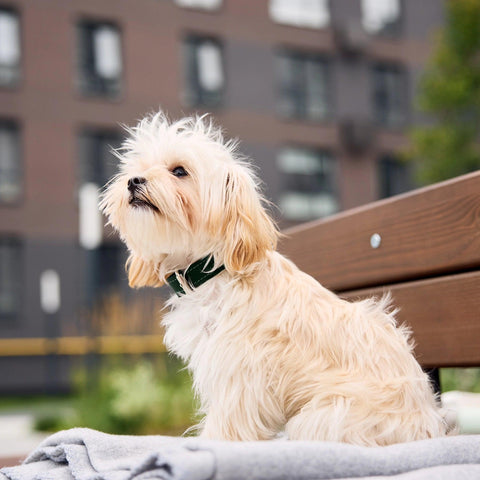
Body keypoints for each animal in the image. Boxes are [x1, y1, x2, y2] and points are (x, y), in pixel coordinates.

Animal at [99, 110, 448, 444]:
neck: (213, 272)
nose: (133, 180)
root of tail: (432, 424)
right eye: (138, 166)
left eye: (179, 171)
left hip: (321, 418)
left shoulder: (239, 370)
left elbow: (228, 424)